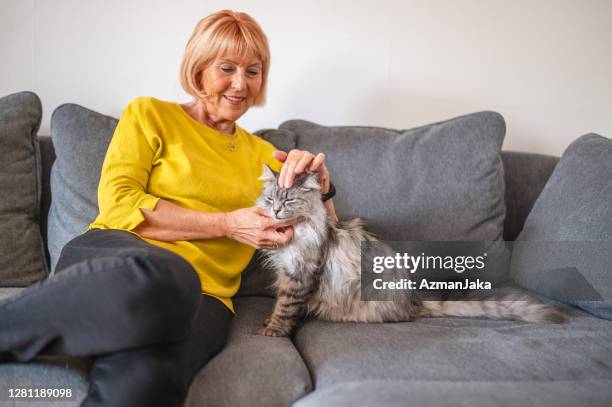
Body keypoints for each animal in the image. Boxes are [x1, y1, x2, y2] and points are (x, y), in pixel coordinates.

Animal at [253, 166, 564, 338]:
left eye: (288, 200)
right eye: (270, 199)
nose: (276, 211)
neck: (297, 234)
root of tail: (412, 301)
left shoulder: (300, 274)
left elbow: (286, 308)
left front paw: (272, 331)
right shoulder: (287, 273)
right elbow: (280, 303)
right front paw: (269, 322)